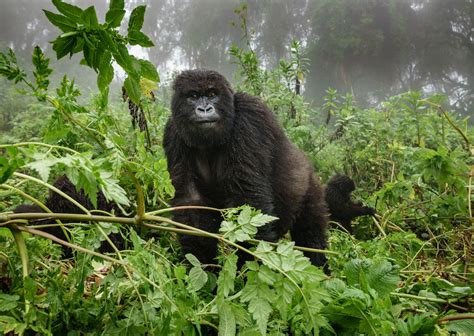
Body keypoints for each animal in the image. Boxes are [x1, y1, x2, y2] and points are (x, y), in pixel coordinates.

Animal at [163, 69, 330, 266]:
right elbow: (191, 201)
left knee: (311, 236)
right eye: (193, 96)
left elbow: (248, 201)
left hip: (311, 187)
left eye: (212, 94)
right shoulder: (173, 131)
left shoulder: (250, 116)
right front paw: (202, 266)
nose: (204, 109)